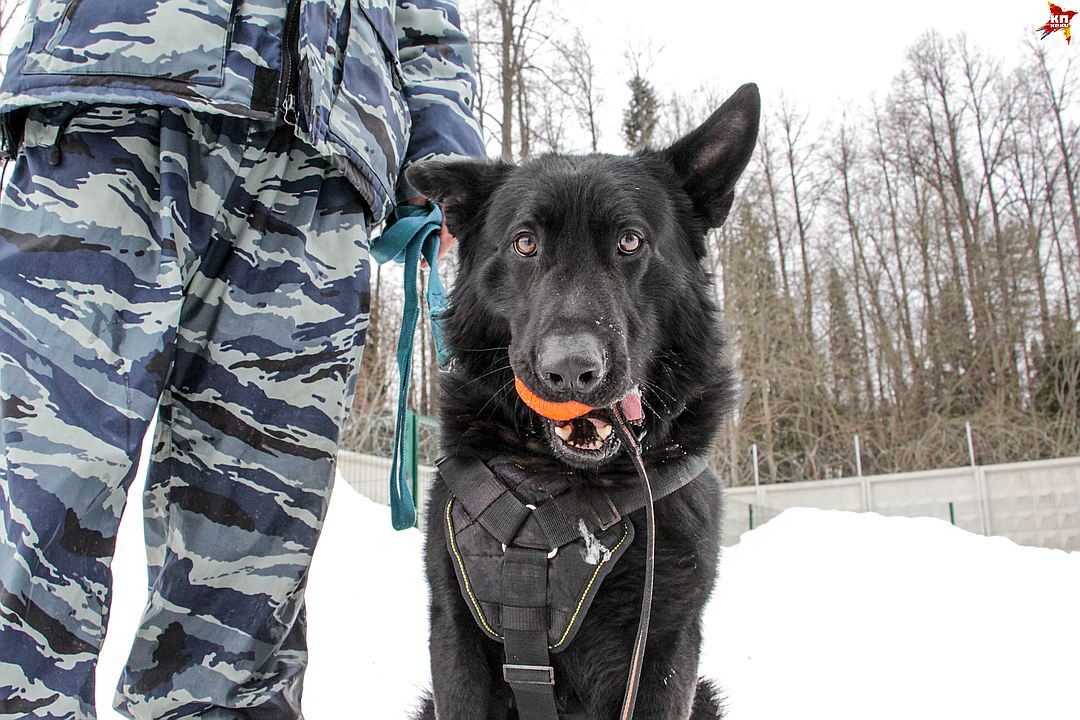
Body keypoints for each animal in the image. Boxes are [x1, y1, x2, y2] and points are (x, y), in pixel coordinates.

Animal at [406, 84, 760, 720]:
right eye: (525, 243)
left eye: (629, 241)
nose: (571, 370)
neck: (560, 484)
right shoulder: (453, 635)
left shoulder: (665, 646)